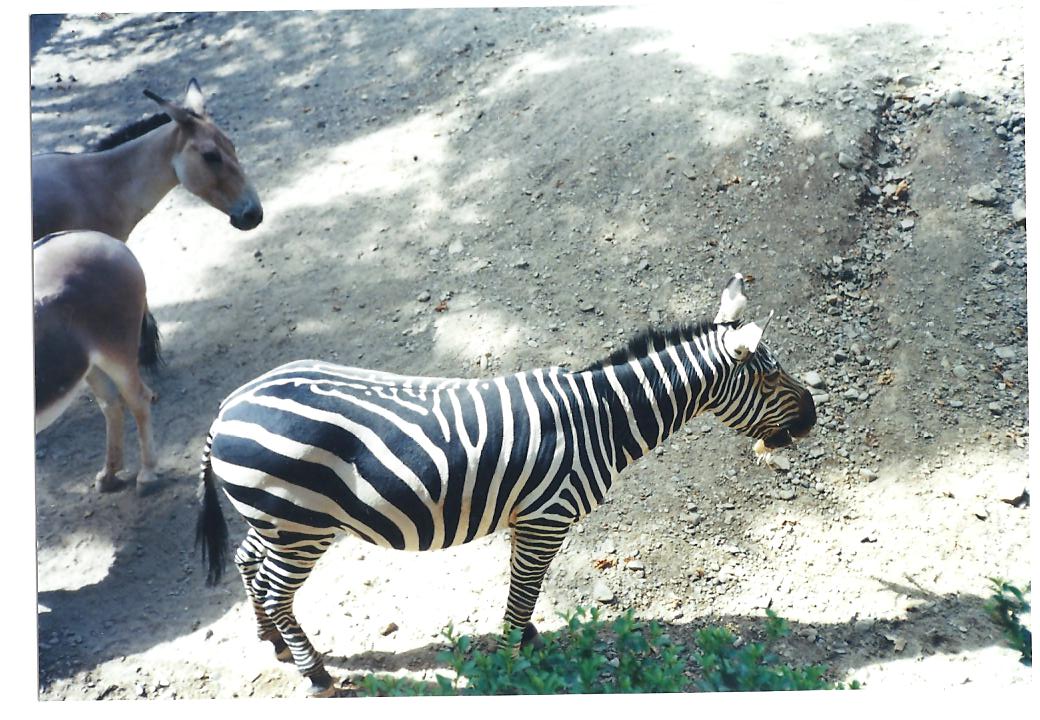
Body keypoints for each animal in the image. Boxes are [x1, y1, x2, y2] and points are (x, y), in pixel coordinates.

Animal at [196, 273, 816, 695]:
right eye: (768, 378)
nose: (812, 417)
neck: (601, 420)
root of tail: (226, 408)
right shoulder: (547, 519)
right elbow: (523, 593)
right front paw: (514, 659)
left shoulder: (529, 520)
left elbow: (524, 592)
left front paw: (525, 641)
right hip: (301, 524)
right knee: (275, 589)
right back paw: (316, 673)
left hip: (275, 521)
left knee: (250, 564)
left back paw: (272, 642)